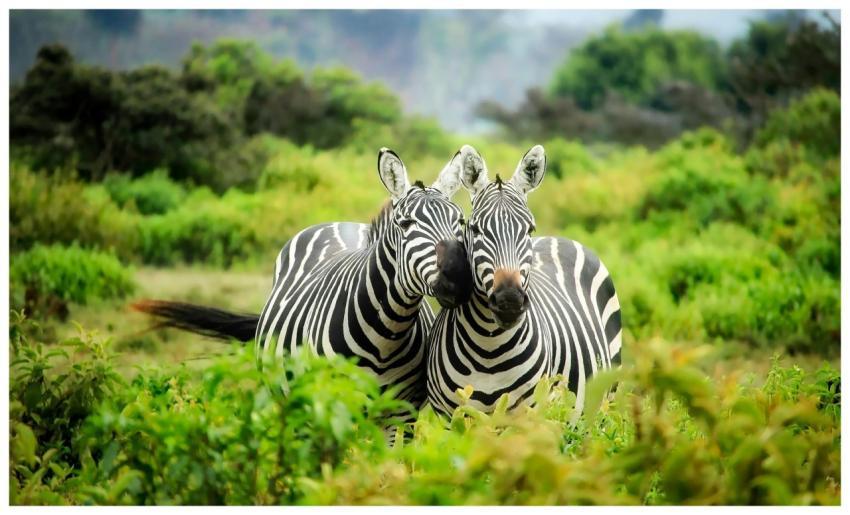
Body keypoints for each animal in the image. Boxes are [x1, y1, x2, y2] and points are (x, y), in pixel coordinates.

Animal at [134, 147, 471, 411]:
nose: (458, 276)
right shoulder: (331, 403)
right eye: (405, 224)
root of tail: (340, 222)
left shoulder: (400, 414)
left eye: (460, 221)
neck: (386, 334)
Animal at [426, 145, 622, 418]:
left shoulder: (528, 414)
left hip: (605, 400)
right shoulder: (448, 417)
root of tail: (559, 238)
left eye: (529, 229)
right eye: (475, 229)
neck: (488, 349)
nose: (509, 301)